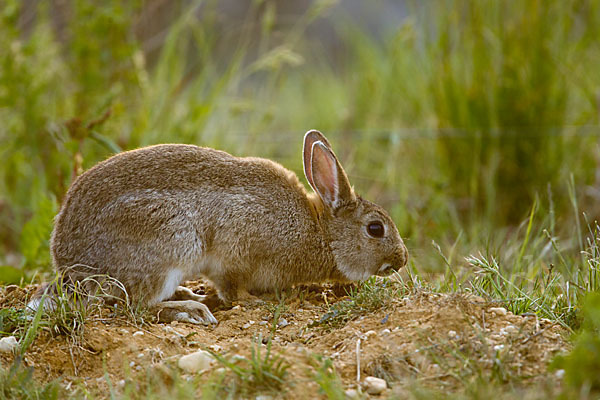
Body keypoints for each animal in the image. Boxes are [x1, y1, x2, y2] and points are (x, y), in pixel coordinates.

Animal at [29, 130, 408, 324]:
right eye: (375, 229)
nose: (402, 260)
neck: (320, 232)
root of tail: (70, 265)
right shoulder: (236, 248)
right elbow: (233, 288)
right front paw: (256, 302)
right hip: (172, 242)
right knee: (134, 305)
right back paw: (190, 309)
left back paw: (189, 295)